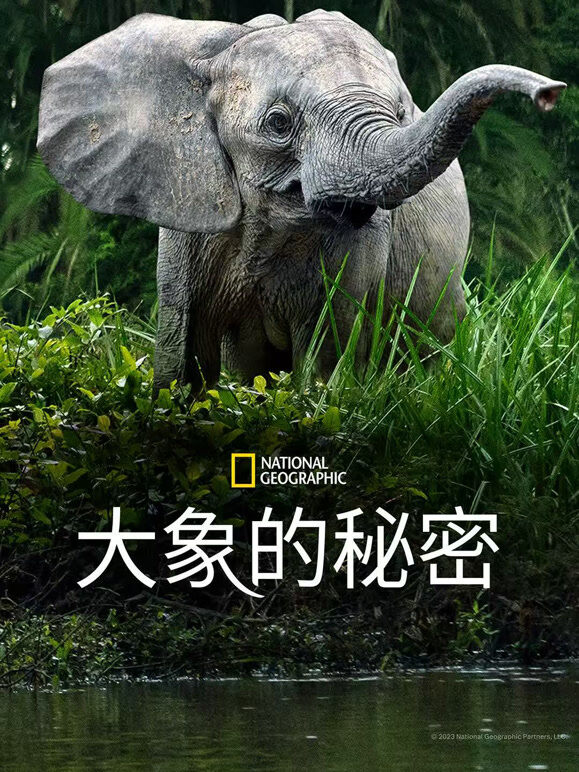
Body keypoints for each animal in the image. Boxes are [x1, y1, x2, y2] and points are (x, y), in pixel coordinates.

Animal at [37, 10, 565, 390]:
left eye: (401, 113)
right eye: (278, 123)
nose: (551, 92)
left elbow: (325, 352)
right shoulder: (188, 215)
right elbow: (183, 353)